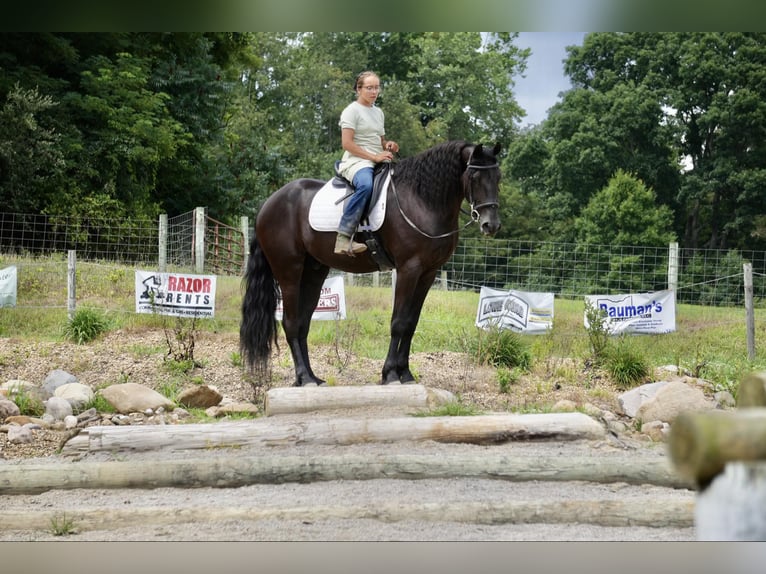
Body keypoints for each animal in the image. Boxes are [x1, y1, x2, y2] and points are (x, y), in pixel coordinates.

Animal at [242, 141, 504, 388]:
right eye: (474, 176)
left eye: (498, 177)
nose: (491, 225)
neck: (421, 200)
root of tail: (268, 204)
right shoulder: (409, 269)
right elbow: (398, 322)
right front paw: (390, 374)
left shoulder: (428, 273)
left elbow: (411, 323)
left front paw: (406, 373)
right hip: (289, 272)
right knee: (291, 322)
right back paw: (304, 377)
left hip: (313, 273)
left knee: (303, 323)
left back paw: (311, 377)